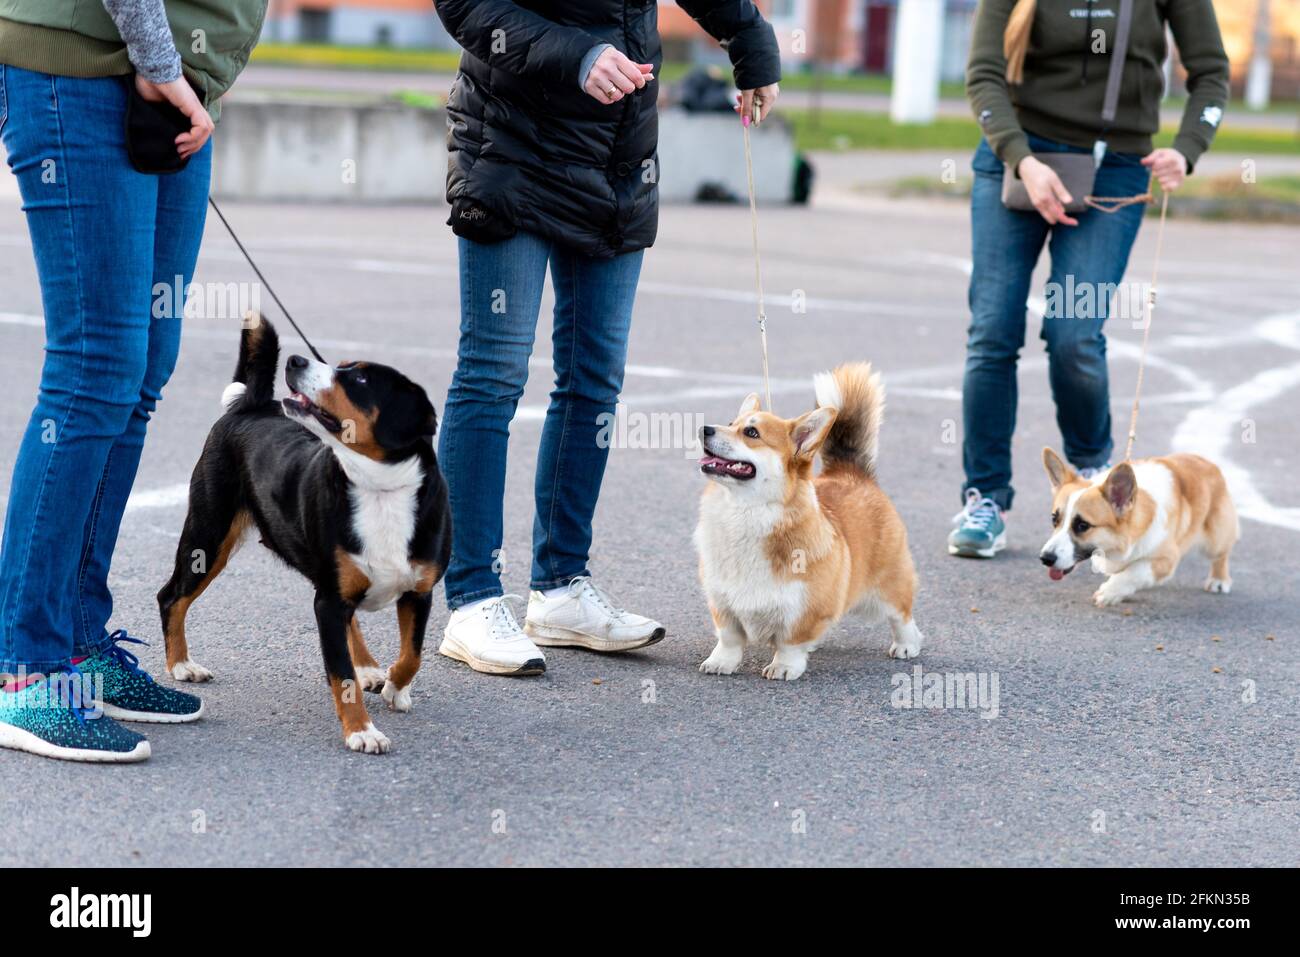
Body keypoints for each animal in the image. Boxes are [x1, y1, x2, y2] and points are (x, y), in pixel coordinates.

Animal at [158, 317, 452, 748]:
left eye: (359, 378)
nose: (296, 360)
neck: (378, 489)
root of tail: (252, 406)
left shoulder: (419, 592)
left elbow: (412, 655)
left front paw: (395, 689)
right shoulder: (328, 600)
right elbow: (342, 677)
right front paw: (361, 731)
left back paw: (369, 668)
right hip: (207, 537)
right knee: (171, 597)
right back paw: (181, 665)